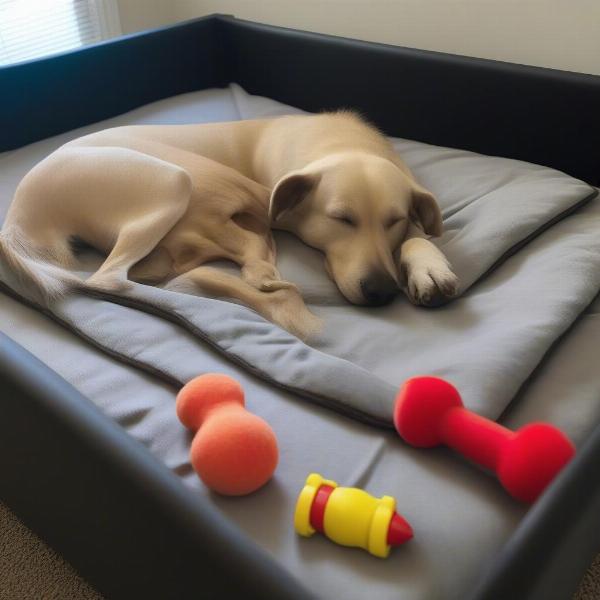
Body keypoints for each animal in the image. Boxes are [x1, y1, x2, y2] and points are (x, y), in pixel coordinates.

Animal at [0, 111, 458, 338]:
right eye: (341, 219)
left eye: (393, 220)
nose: (381, 290)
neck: (342, 143)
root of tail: (18, 212)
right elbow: (249, 246)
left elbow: (419, 235)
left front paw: (429, 266)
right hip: (178, 179)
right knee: (109, 279)